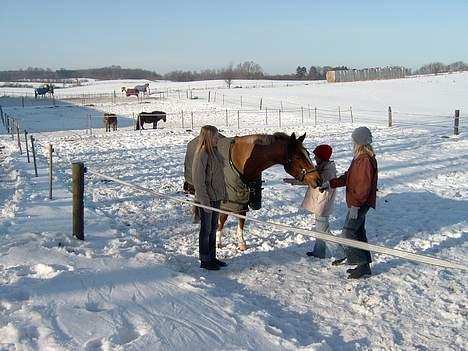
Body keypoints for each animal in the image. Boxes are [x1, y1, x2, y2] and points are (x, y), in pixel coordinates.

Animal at [183, 131, 322, 250]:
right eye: (298, 157)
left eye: (308, 153)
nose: (318, 180)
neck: (241, 160)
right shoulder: (228, 199)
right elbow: (222, 219)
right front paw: (218, 242)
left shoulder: (243, 197)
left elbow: (241, 219)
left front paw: (241, 243)